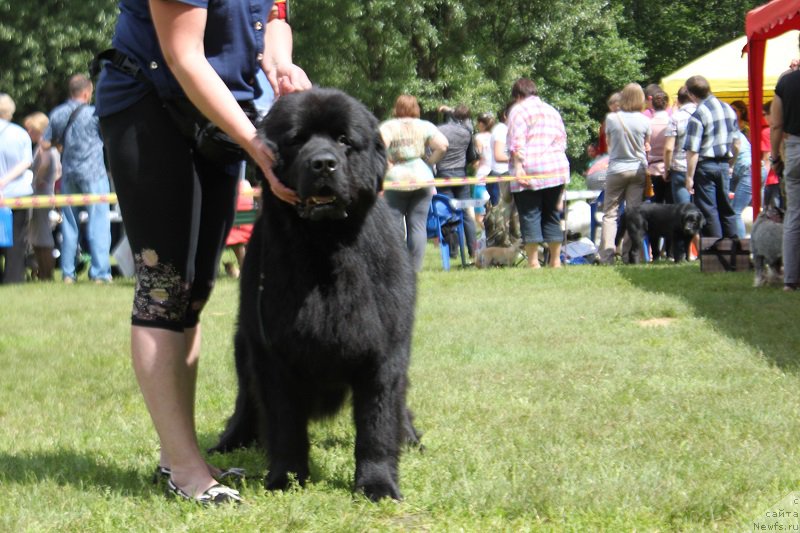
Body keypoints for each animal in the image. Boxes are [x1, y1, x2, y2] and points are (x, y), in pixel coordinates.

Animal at [209, 87, 422, 498]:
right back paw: (232, 440)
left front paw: (378, 484)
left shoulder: (384, 349)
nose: (323, 164)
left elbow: (378, 423)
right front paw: (285, 477)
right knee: (246, 400)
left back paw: (410, 436)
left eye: (344, 140)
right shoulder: (273, 351)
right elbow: (284, 422)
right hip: (244, 345)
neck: (326, 249)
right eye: (296, 140)